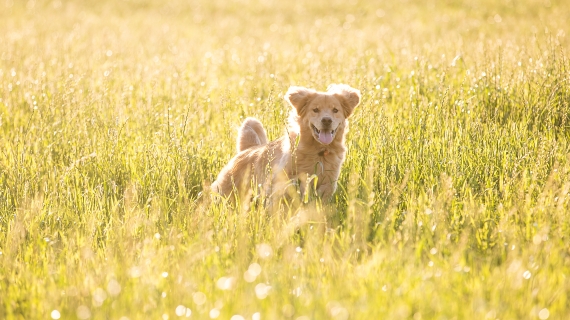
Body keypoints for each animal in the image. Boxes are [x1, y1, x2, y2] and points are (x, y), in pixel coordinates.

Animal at [209, 84, 360, 205]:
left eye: (335, 110)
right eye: (315, 109)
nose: (327, 120)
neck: (319, 152)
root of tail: (246, 150)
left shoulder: (327, 185)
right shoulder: (280, 185)